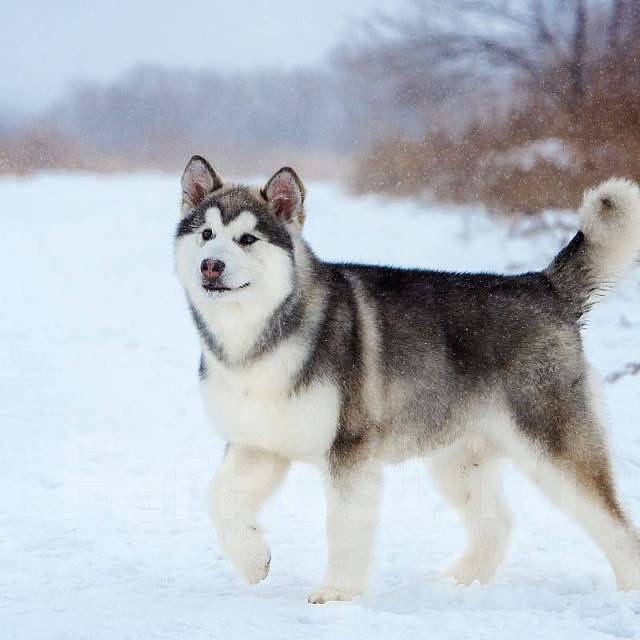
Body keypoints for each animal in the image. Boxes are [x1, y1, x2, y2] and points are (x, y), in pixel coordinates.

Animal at [174, 156, 640, 604]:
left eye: (247, 239)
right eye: (206, 233)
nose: (211, 265)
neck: (256, 340)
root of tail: (543, 285)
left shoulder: (350, 448)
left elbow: (345, 525)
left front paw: (338, 593)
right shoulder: (259, 444)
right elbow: (218, 497)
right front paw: (254, 559)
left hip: (553, 444)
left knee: (617, 527)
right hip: (458, 457)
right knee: (498, 525)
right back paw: (455, 585)